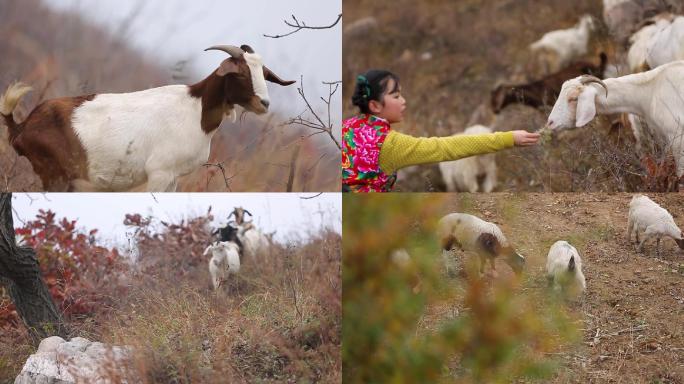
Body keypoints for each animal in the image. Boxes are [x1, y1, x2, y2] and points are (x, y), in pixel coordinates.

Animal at [0, 44, 294, 191]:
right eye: (241, 73)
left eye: (263, 73)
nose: (264, 103)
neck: (195, 109)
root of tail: (22, 126)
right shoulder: (159, 172)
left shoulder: (174, 178)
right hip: (55, 175)